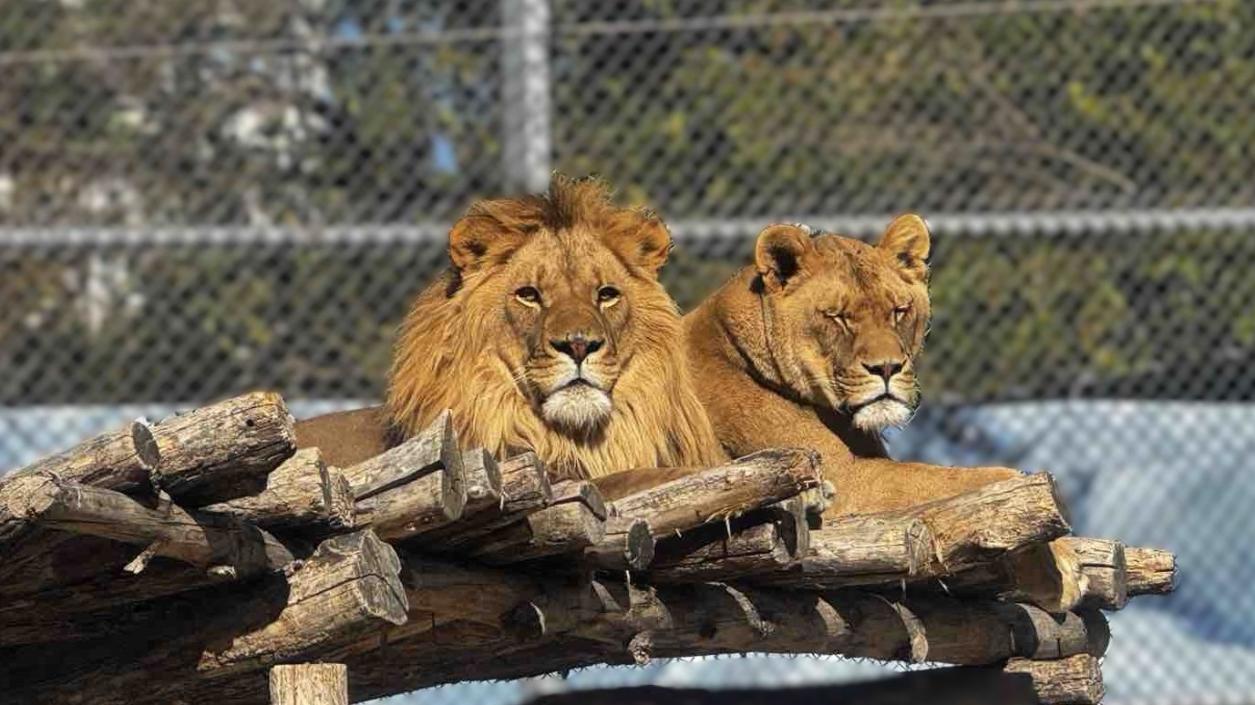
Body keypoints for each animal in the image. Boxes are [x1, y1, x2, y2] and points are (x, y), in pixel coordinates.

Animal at [682, 217, 1084, 607]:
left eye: (898, 311)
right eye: (838, 316)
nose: (887, 367)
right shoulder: (842, 480)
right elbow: (973, 479)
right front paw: (1060, 563)